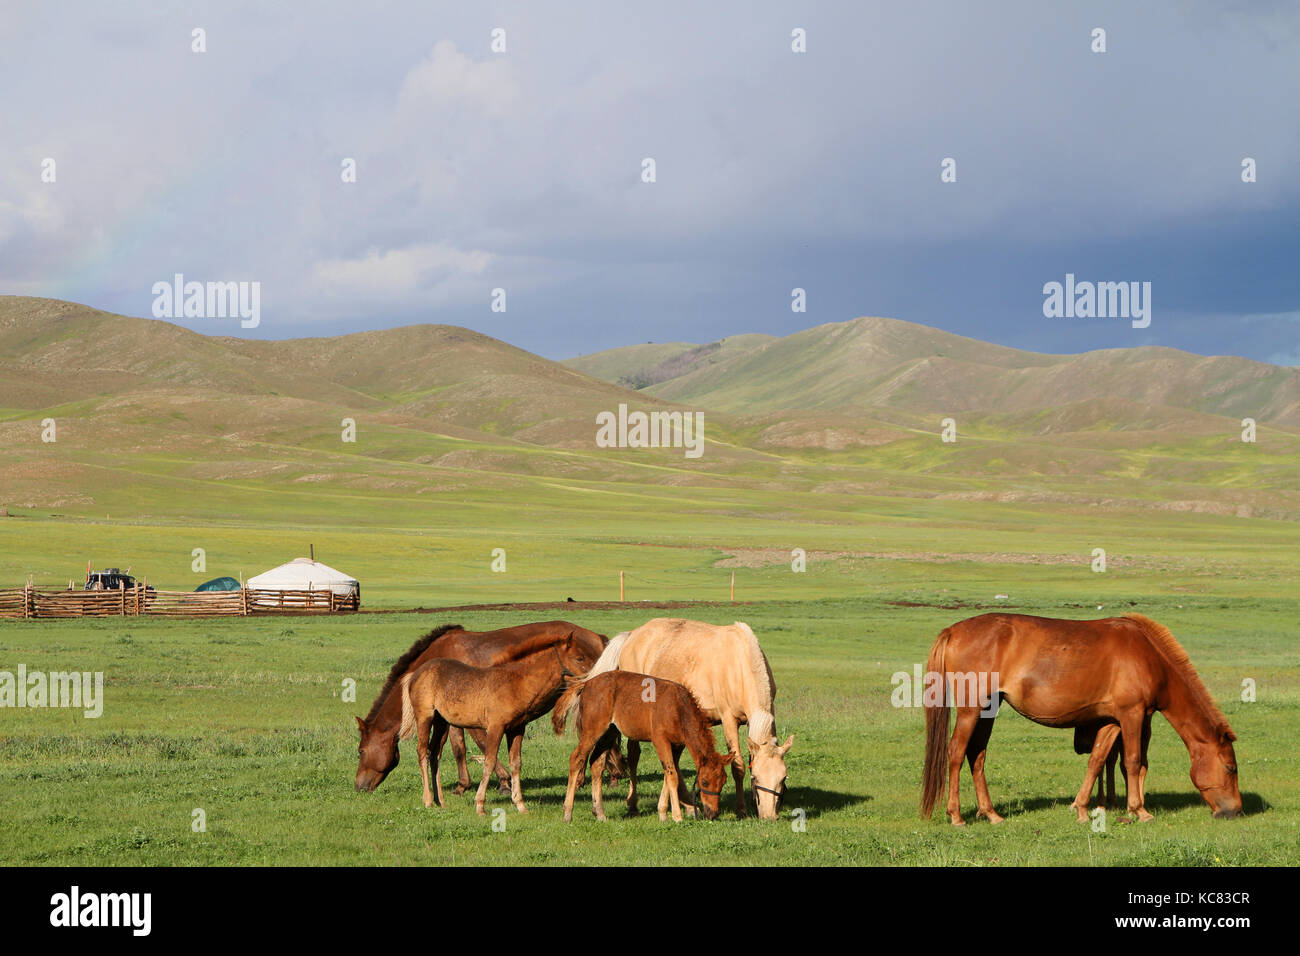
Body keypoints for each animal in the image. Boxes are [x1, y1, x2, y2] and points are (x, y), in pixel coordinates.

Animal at [354, 621, 620, 793]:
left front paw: (502, 782)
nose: (358, 786)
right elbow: (458, 749)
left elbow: (481, 745)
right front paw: (463, 785)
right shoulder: (452, 717)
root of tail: (598, 637)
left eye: (361, 751)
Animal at [399, 630, 600, 814]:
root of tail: (415, 674)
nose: (595, 675)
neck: (516, 683)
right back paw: (428, 800)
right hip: (425, 717)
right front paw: (480, 805)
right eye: (580, 658)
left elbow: (516, 763)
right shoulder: (496, 727)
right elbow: (489, 761)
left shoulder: (516, 729)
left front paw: (520, 805)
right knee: (423, 752)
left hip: (442, 722)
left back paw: (440, 801)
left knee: (435, 754)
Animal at [552, 671, 734, 823]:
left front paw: (662, 813)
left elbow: (670, 772)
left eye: (723, 781)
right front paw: (676, 816)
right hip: (592, 731)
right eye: (704, 782)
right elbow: (672, 775)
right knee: (576, 758)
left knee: (596, 764)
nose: (712, 813)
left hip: (608, 733)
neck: (678, 708)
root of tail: (587, 684)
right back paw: (567, 813)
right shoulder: (660, 740)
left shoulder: (677, 745)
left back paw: (599, 813)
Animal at [583, 618, 792, 820]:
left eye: (783, 778)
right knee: (634, 756)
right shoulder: (729, 720)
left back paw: (689, 806)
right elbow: (738, 766)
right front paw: (741, 810)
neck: (740, 664)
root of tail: (632, 634)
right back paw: (633, 805)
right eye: (755, 777)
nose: (770, 816)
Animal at [921, 613, 1241, 825]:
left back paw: (991, 814)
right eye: (1230, 767)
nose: (1236, 811)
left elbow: (1098, 761)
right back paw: (956, 815)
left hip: (989, 708)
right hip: (971, 710)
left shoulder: (1112, 721)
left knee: (977, 755)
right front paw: (1138, 810)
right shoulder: (1133, 714)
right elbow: (1133, 761)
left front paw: (1084, 808)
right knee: (956, 752)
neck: (1149, 656)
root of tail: (953, 630)